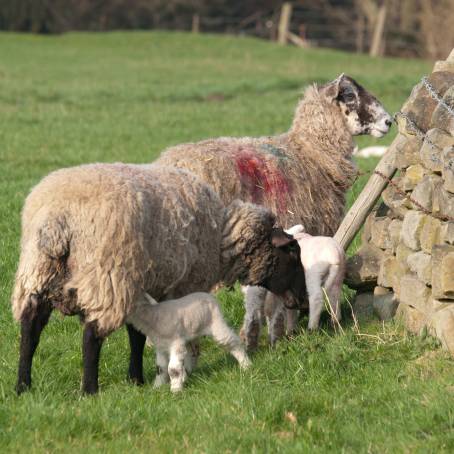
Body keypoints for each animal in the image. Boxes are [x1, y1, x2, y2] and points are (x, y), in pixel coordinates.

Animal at [12, 162, 304, 394]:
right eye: (292, 252)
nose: (299, 300)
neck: (221, 238)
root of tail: (56, 220)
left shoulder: (147, 285)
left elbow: (137, 333)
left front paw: (137, 378)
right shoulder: (178, 286)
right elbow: (153, 336)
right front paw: (179, 369)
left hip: (37, 273)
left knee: (30, 329)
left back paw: (23, 386)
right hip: (106, 278)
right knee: (91, 336)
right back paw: (89, 389)